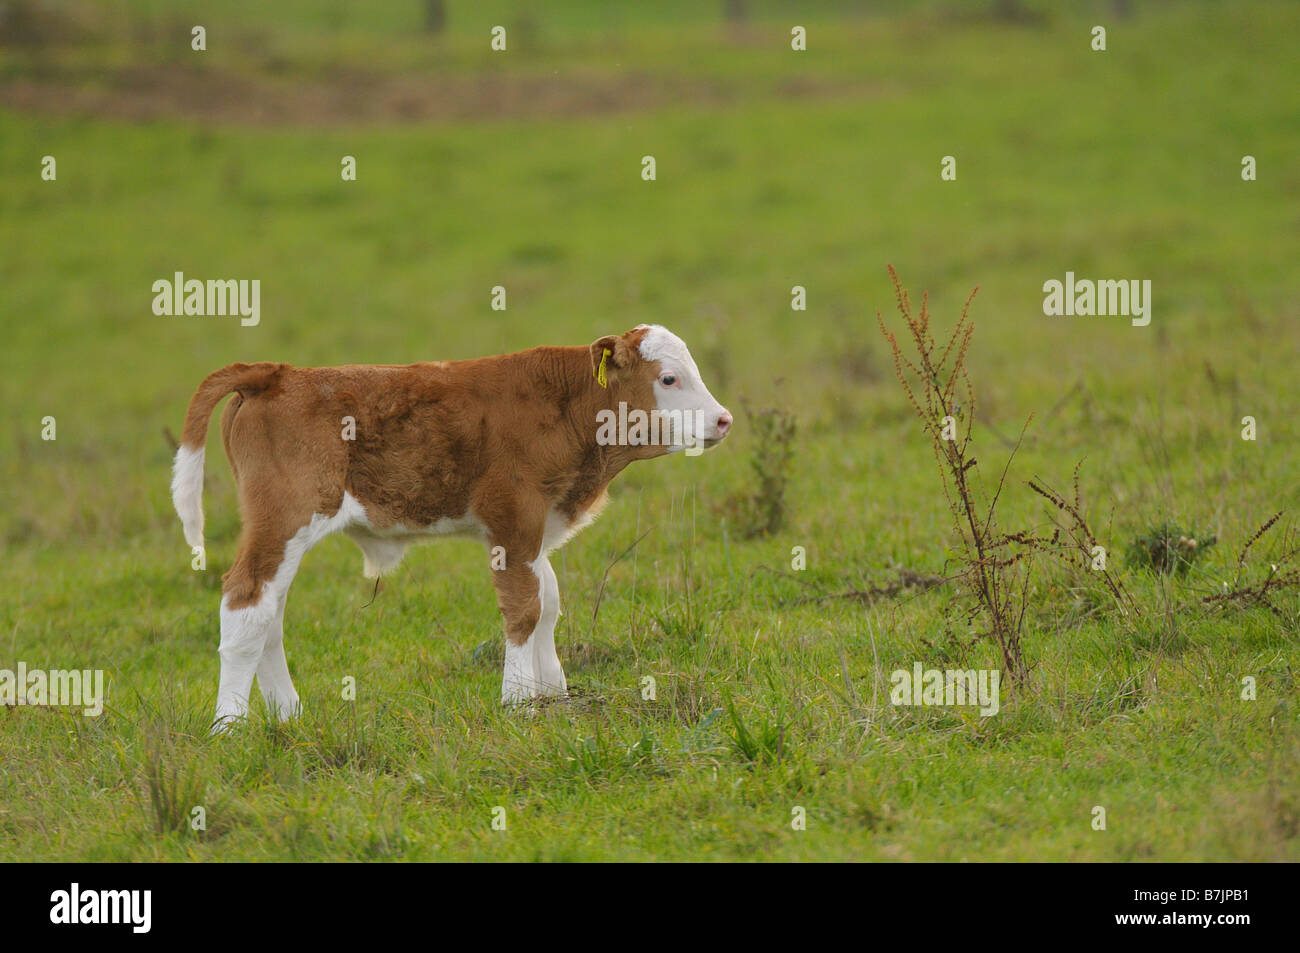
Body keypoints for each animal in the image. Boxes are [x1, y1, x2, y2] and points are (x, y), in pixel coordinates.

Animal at [170, 325, 732, 731]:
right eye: (668, 379)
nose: (724, 419)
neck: (565, 408)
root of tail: (278, 373)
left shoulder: (536, 529)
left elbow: (548, 602)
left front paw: (554, 692)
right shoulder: (512, 521)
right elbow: (524, 609)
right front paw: (518, 702)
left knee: (270, 615)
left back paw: (288, 715)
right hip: (283, 520)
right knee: (246, 603)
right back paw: (229, 727)